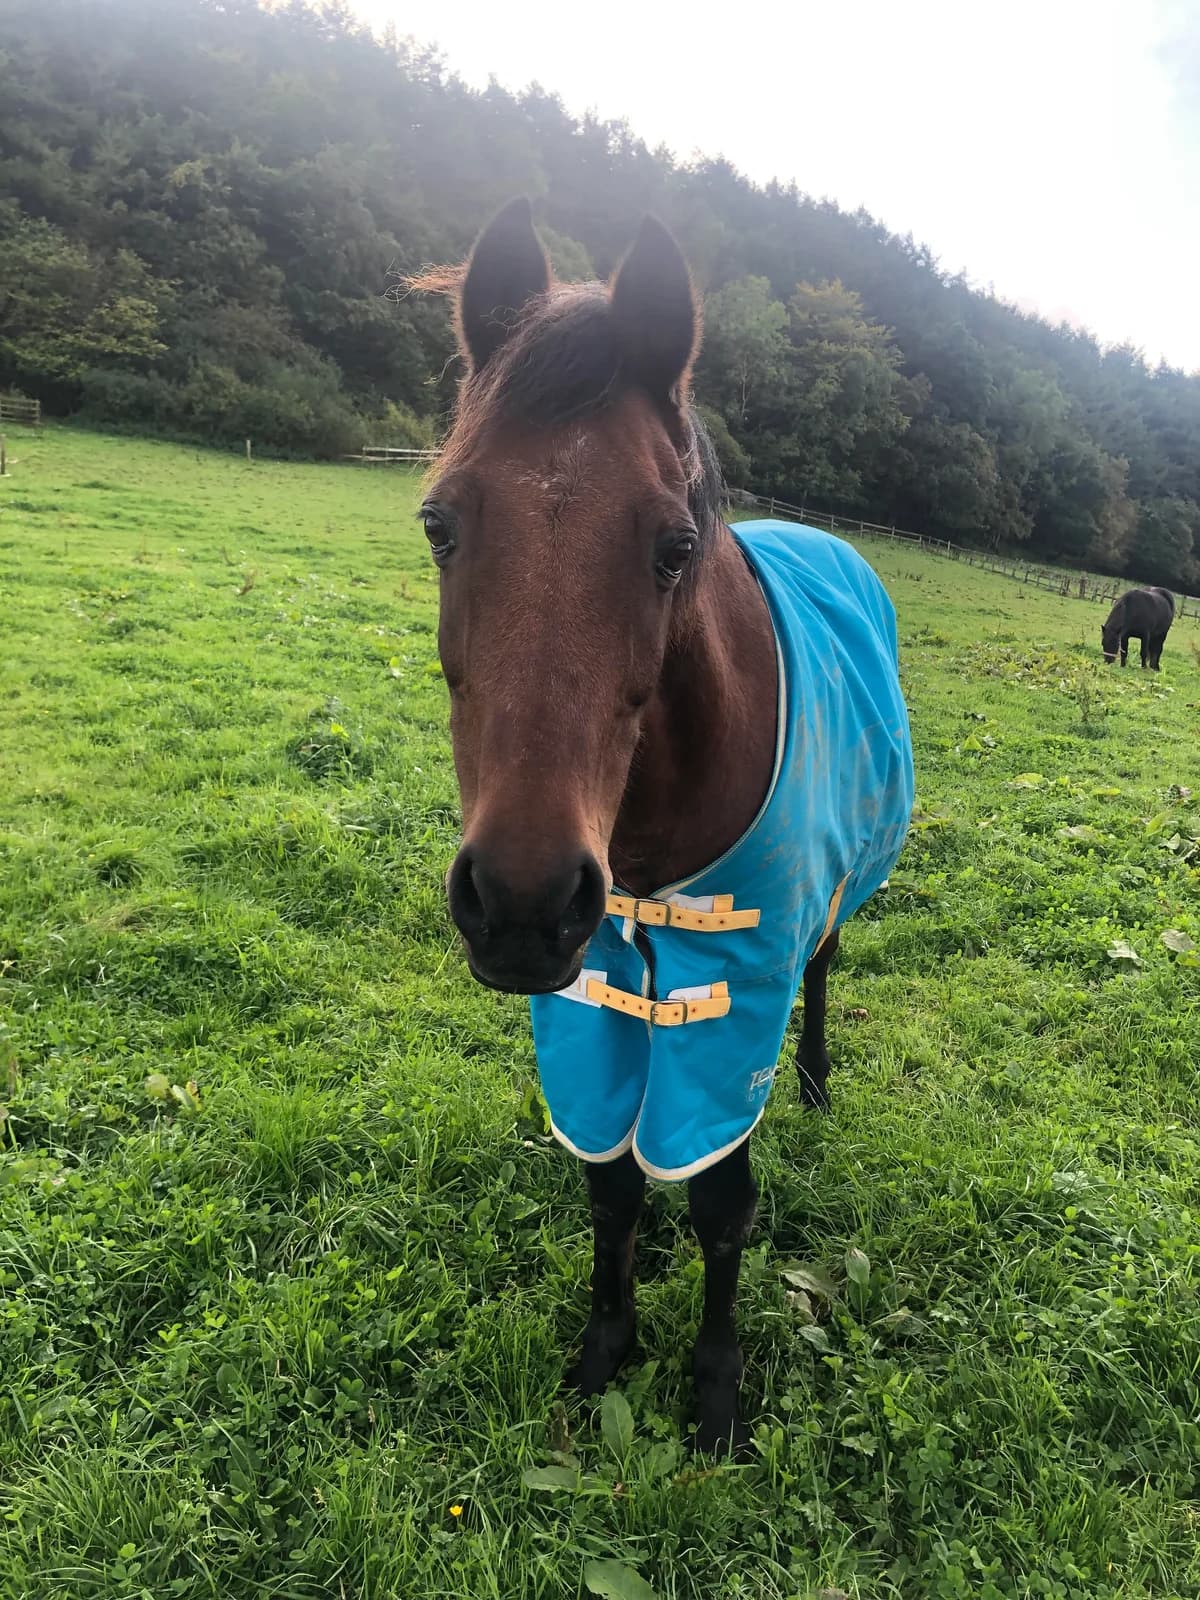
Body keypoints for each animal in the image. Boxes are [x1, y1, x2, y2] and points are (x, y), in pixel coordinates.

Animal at [412, 199, 914, 1454]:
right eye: (440, 523)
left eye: (672, 545)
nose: (523, 900)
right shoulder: (587, 991)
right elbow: (612, 1178)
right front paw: (605, 1350)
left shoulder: (733, 989)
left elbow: (721, 1201)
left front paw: (717, 1391)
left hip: (825, 909)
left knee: (825, 969)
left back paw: (819, 1083)